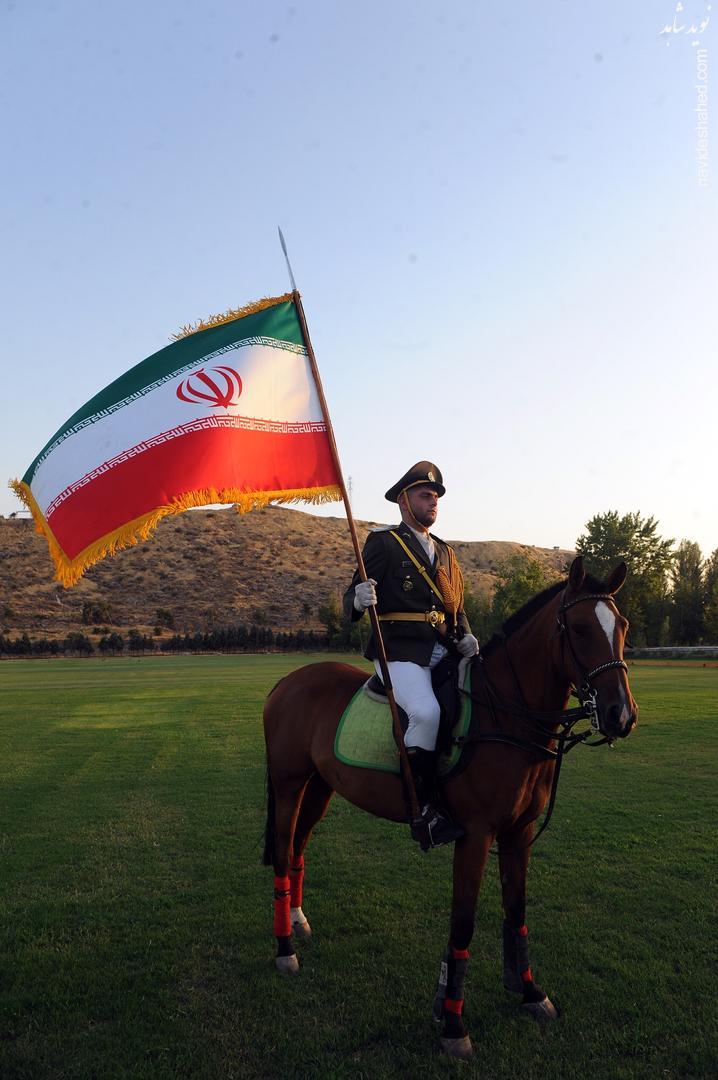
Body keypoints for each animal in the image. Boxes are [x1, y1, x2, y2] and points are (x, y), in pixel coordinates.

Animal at [262, 556, 638, 1059]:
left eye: (623, 626)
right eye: (578, 628)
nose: (621, 715)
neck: (506, 713)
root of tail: (285, 682)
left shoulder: (519, 832)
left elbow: (516, 912)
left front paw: (530, 993)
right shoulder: (475, 835)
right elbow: (463, 924)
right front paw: (453, 1023)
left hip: (321, 785)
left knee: (300, 846)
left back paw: (299, 921)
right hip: (288, 785)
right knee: (284, 853)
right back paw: (285, 949)